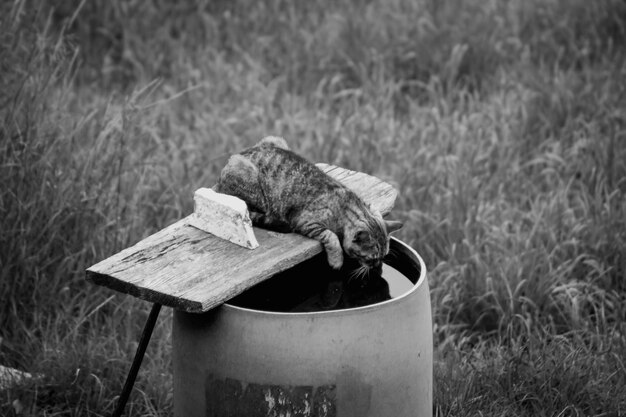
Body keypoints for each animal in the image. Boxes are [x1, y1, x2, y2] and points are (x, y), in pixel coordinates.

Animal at [212, 136, 402, 272]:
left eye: (384, 256)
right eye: (371, 258)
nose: (377, 266)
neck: (346, 204)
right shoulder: (305, 221)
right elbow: (331, 236)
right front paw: (336, 261)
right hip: (249, 179)